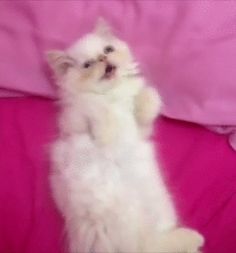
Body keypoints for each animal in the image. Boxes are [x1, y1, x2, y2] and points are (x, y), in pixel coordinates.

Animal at [47, 18, 203, 253]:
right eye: (88, 65)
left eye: (107, 50)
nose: (103, 59)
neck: (112, 94)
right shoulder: (74, 124)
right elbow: (97, 109)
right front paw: (107, 132)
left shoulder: (140, 130)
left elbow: (148, 98)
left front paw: (145, 101)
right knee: (149, 244)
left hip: (161, 209)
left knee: (159, 241)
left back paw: (193, 239)